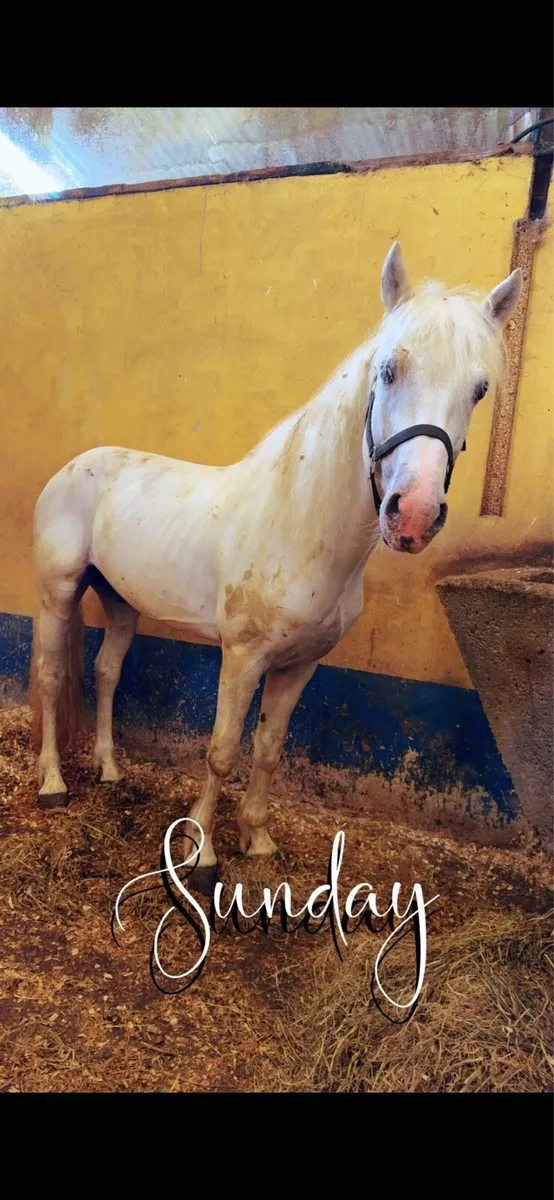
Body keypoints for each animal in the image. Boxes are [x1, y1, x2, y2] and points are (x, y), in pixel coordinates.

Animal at [30, 243, 522, 893]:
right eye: (388, 370)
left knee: (107, 671)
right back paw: (53, 783)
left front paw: (257, 839)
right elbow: (221, 750)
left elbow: (267, 747)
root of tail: (73, 467)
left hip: (120, 601)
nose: (413, 514)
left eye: (480, 389)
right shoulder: (242, 656)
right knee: (52, 675)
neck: (298, 523)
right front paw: (201, 851)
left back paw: (109, 769)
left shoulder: (299, 664)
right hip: (58, 593)